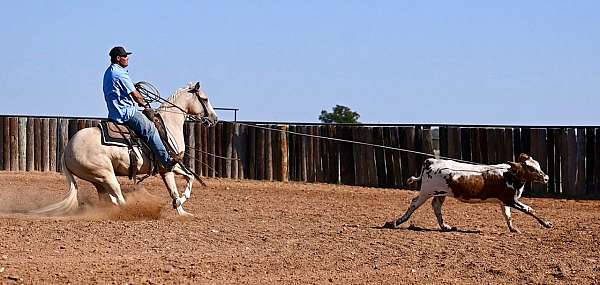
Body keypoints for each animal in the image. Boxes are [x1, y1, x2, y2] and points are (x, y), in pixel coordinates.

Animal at [32, 81, 216, 215]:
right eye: (205, 99)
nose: (214, 119)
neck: (168, 125)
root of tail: (66, 151)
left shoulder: (173, 165)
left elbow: (189, 178)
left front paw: (183, 212)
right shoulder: (167, 166)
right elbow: (175, 190)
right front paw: (178, 204)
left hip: (97, 179)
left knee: (109, 199)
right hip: (106, 175)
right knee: (118, 198)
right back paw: (135, 211)